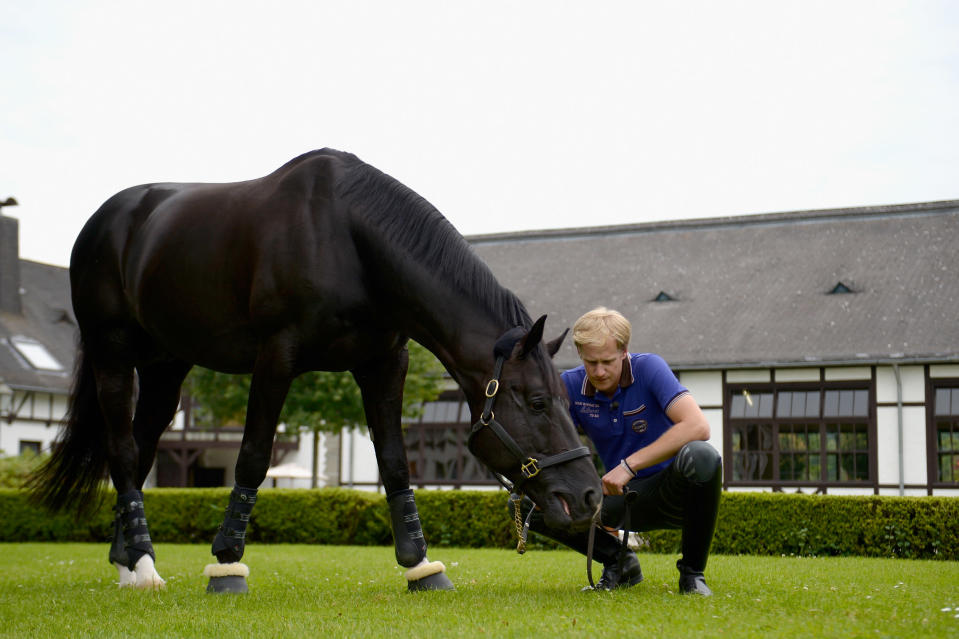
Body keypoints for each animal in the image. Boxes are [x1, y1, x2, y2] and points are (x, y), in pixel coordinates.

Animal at [33, 150, 604, 596]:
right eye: (536, 402)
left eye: (566, 400)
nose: (589, 497)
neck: (347, 238)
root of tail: (108, 220)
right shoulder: (275, 357)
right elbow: (253, 455)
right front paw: (227, 563)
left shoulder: (383, 363)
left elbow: (394, 463)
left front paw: (421, 566)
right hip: (112, 354)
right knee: (123, 450)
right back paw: (144, 565)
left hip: (165, 366)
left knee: (142, 446)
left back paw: (128, 563)